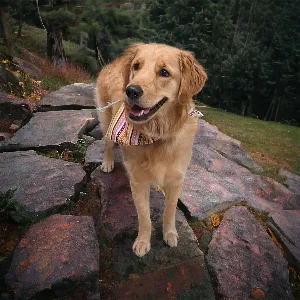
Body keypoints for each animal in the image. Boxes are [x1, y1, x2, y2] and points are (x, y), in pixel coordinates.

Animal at [95, 43, 207, 256]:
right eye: (137, 66)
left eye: (164, 72)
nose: (131, 91)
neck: (156, 135)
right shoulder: (138, 181)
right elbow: (144, 217)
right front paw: (143, 242)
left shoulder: (176, 179)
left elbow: (170, 211)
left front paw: (169, 234)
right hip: (105, 118)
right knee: (107, 143)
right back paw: (107, 162)